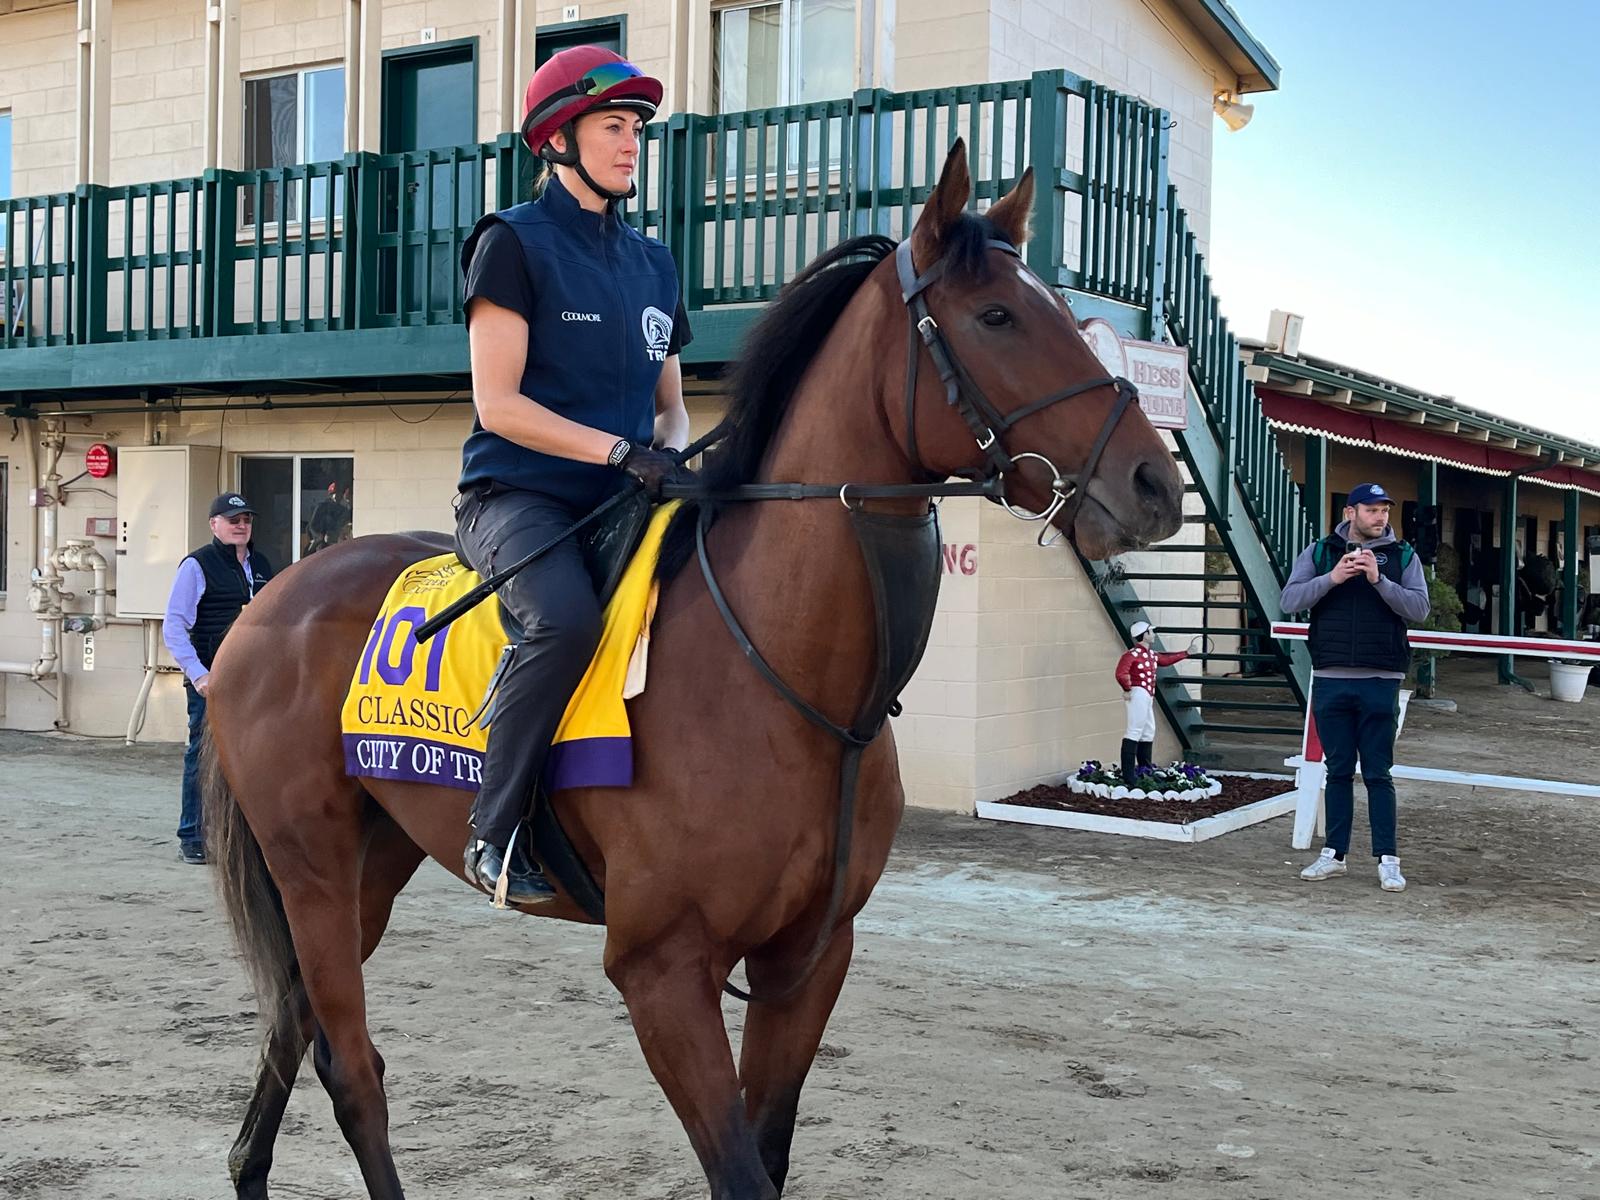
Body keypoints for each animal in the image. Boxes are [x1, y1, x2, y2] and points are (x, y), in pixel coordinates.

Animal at [203, 143, 1190, 1200]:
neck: (780, 676)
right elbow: (738, 1170)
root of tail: (267, 600)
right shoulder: (662, 969)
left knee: (292, 1020)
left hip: (372, 865)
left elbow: (768, 1150)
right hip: (311, 863)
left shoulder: (808, 960)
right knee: (349, 1065)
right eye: (997, 316)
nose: (1155, 484)